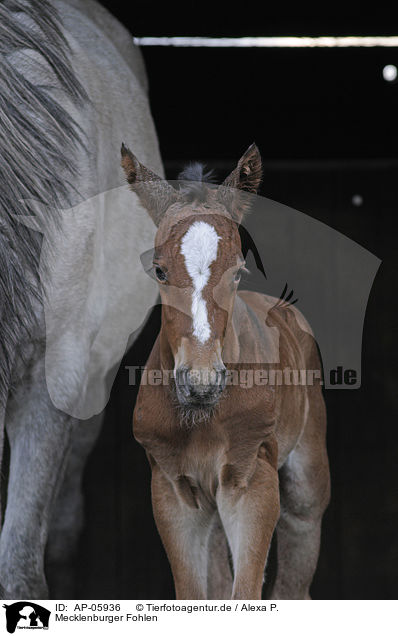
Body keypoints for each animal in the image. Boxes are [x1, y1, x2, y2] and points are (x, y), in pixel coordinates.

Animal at [120, 142, 330, 600]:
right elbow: (196, 595)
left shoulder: (251, 479)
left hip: (306, 479)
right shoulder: (172, 488)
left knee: (295, 569)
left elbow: (246, 592)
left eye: (237, 272)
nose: (201, 383)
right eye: (159, 270)